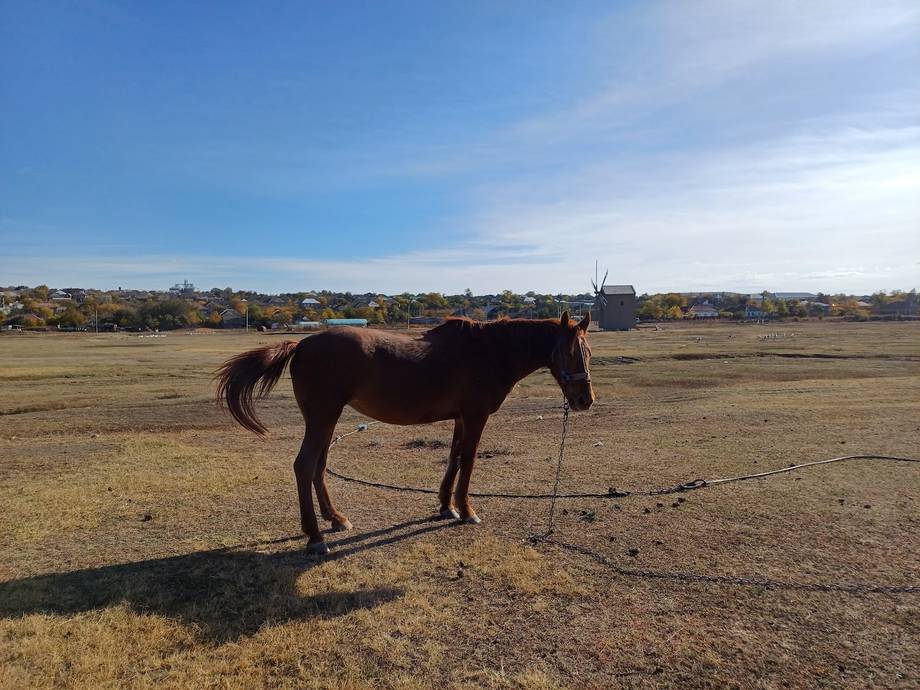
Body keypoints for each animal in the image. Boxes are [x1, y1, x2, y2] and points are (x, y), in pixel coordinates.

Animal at [216, 310, 595, 554]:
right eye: (567, 352)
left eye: (588, 352)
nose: (584, 400)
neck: (488, 351)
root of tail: (302, 345)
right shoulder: (475, 416)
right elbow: (469, 460)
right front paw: (466, 509)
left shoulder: (461, 418)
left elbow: (454, 458)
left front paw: (446, 506)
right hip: (323, 416)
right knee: (305, 466)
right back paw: (314, 537)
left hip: (325, 419)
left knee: (318, 467)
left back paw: (335, 519)